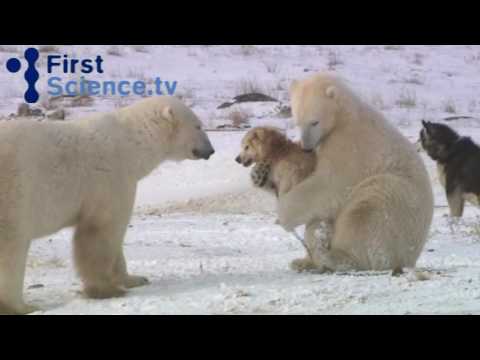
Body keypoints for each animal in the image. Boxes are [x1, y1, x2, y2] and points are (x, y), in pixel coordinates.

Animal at [0, 96, 214, 316]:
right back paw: (21, 306)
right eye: (198, 126)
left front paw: (135, 279)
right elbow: (102, 232)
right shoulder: (110, 179)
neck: (132, 143)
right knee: (12, 247)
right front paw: (107, 289)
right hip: (15, 192)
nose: (211, 150)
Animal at [255, 74, 436, 274]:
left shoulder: (350, 145)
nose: (306, 147)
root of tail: (412, 257)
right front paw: (262, 176)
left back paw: (336, 257)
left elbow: (328, 184)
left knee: (368, 209)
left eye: (314, 122)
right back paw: (304, 261)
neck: (344, 116)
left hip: (400, 206)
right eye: (298, 121)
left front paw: (283, 215)